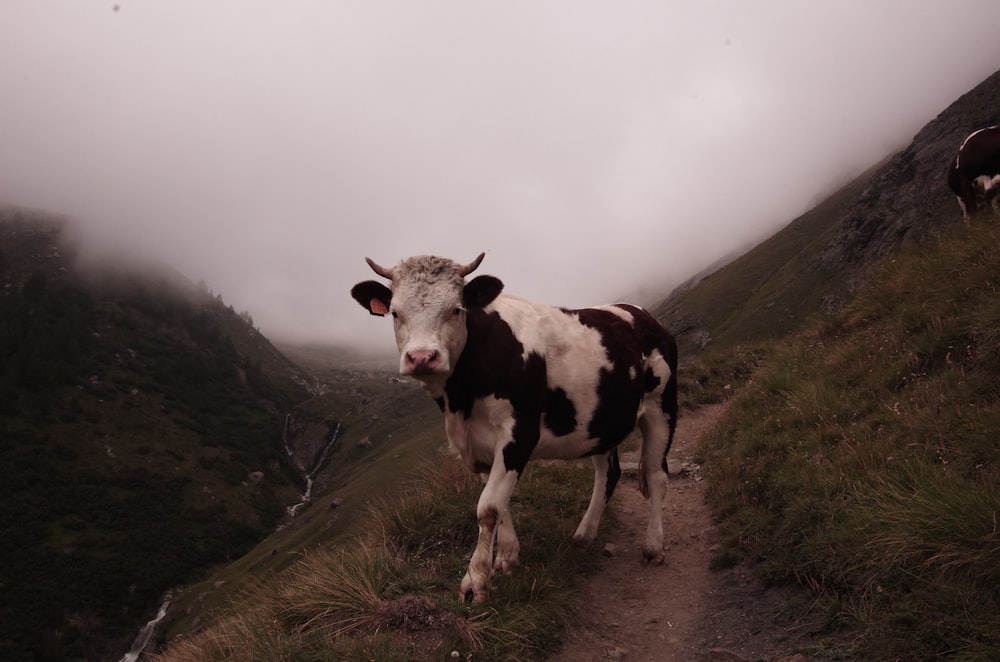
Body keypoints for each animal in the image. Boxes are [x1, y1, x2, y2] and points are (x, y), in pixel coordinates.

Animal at [354, 252, 680, 604]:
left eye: (456, 309)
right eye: (395, 312)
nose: (422, 357)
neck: (460, 402)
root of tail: (643, 315)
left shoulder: (519, 434)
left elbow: (488, 507)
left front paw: (475, 582)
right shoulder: (480, 445)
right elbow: (501, 503)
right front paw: (507, 557)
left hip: (662, 407)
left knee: (656, 475)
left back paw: (653, 547)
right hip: (602, 422)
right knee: (608, 472)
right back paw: (583, 534)